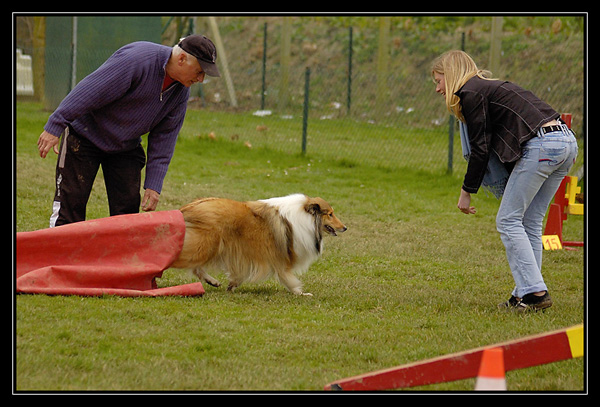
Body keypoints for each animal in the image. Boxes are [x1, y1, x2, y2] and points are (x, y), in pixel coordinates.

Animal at [169, 194, 346, 296]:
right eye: (330, 214)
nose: (344, 227)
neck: (305, 217)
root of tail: (187, 208)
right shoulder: (279, 257)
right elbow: (288, 278)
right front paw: (300, 293)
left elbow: (238, 275)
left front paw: (232, 285)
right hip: (204, 245)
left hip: (206, 248)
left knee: (196, 268)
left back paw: (213, 281)